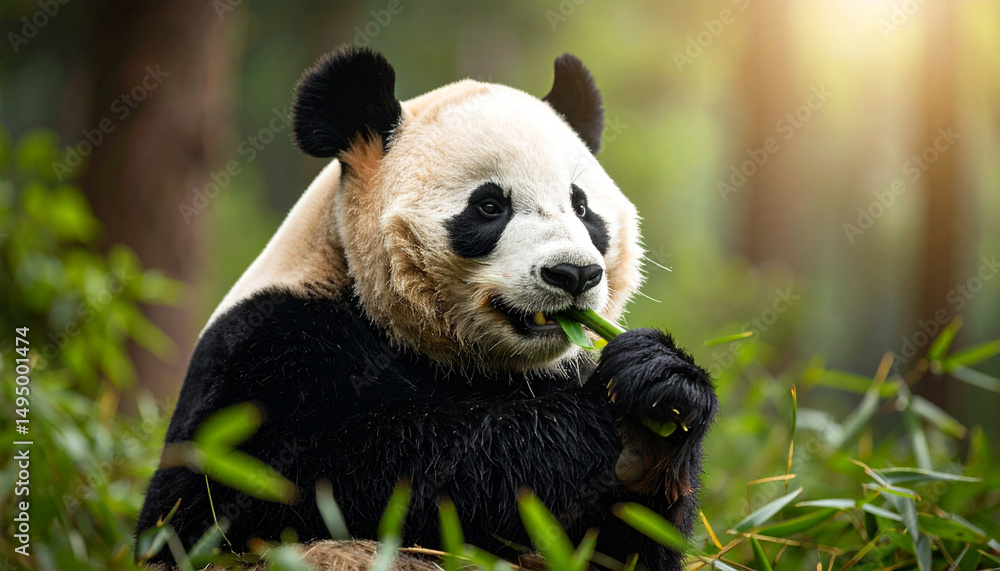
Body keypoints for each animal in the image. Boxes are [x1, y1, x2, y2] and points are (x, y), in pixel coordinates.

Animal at [136, 46, 719, 571]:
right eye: (489, 205)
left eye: (582, 207)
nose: (573, 274)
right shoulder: (268, 345)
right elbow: (226, 500)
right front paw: (601, 418)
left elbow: (619, 550)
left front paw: (659, 399)